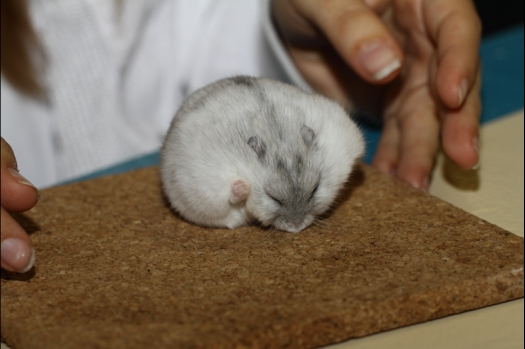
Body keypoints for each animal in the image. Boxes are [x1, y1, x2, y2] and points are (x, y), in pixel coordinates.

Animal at [160, 77, 364, 232]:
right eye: (274, 198)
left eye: (314, 190)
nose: (297, 228)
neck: (277, 139)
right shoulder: (207, 184)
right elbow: (228, 195)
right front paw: (243, 187)